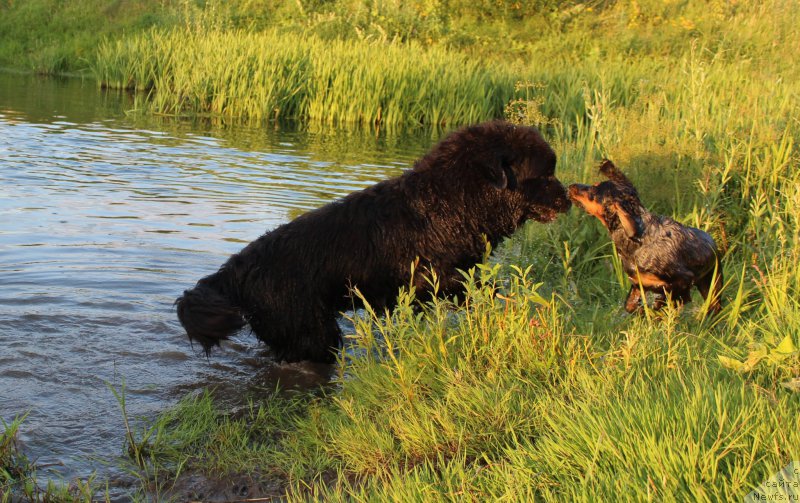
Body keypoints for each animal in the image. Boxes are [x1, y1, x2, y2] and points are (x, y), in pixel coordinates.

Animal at [178, 120, 572, 362]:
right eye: (546, 174)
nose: (569, 198)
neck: (453, 200)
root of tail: (234, 269)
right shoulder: (429, 279)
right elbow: (478, 289)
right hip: (310, 330)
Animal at [568, 159, 724, 316]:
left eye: (594, 188)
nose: (571, 185)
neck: (637, 243)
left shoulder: (683, 279)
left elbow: (667, 298)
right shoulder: (638, 284)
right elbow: (630, 305)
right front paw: (643, 311)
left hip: (711, 285)